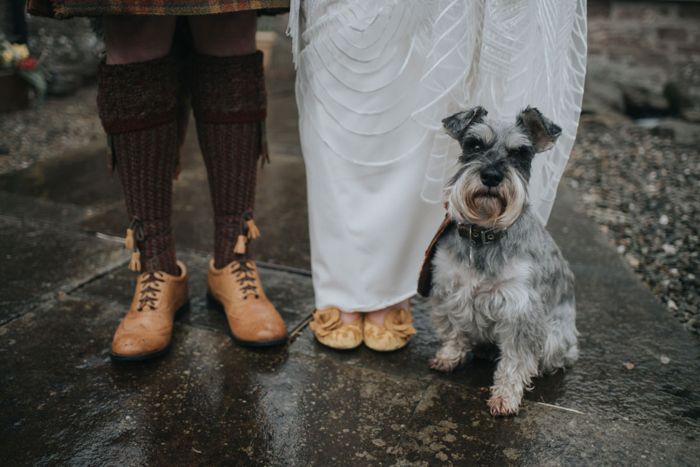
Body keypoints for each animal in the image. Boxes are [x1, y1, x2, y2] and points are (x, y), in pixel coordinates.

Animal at [418, 105, 576, 416]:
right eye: (474, 145)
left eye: (520, 153)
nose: (491, 176)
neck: (483, 233)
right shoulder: (448, 289)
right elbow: (453, 330)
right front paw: (449, 357)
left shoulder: (521, 309)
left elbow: (516, 360)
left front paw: (505, 398)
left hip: (555, 336)